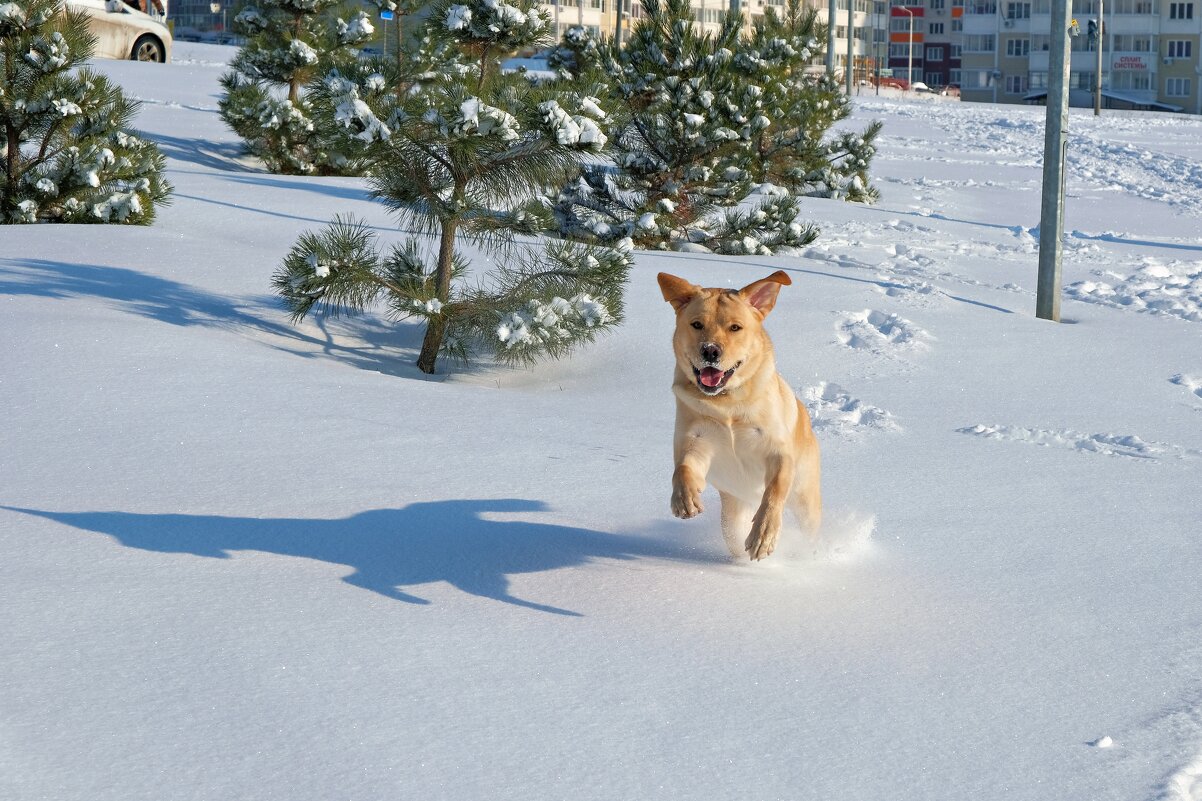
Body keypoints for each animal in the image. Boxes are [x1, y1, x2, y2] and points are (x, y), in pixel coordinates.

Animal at [658, 271, 817, 558]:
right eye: (696, 324)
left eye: (735, 327)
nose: (710, 350)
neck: (727, 404)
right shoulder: (697, 441)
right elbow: (683, 468)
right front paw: (684, 499)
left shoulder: (777, 451)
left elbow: (775, 489)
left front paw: (763, 535)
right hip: (733, 513)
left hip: (806, 499)